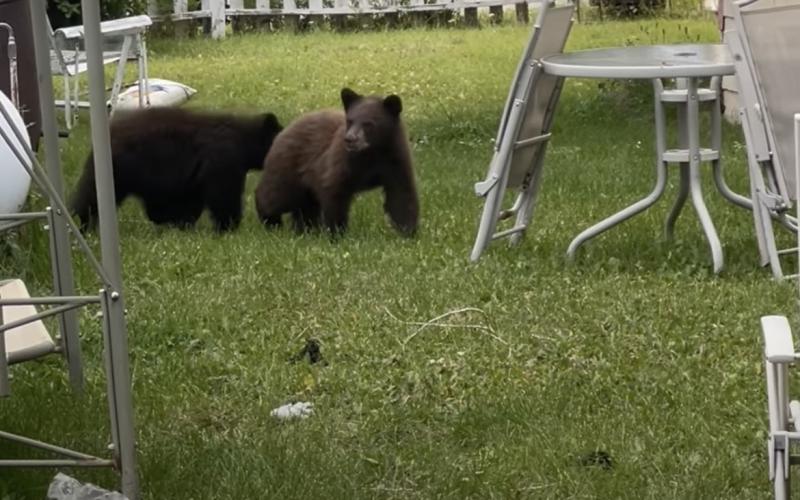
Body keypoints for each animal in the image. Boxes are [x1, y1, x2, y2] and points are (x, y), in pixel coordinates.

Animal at [70, 106, 283, 232]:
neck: (243, 138)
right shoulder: (223, 159)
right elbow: (223, 195)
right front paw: (228, 226)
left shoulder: (194, 175)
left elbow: (191, 198)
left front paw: (183, 223)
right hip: (120, 170)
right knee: (92, 196)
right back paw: (84, 223)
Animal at [254, 88, 419, 237]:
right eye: (350, 120)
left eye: (368, 123)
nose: (350, 139)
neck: (372, 152)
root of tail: (286, 128)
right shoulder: (342, 161)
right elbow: (334, 191)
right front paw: (337, 234)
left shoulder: (395, 160)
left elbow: (401, 195)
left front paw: (408, 233)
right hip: (289, 166)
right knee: (275, 196)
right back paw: (272, 223)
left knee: (306, 206)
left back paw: (306, 230)